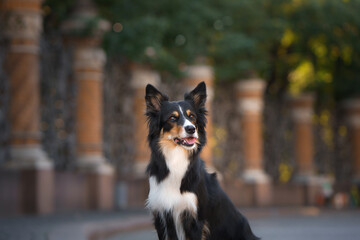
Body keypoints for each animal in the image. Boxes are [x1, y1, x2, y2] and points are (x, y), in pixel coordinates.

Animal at [145, 81, 260, 239]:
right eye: (172, 118)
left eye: (192, 116)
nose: (191, 129)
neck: (176, 158)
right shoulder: (162, 218)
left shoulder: (195, 220)